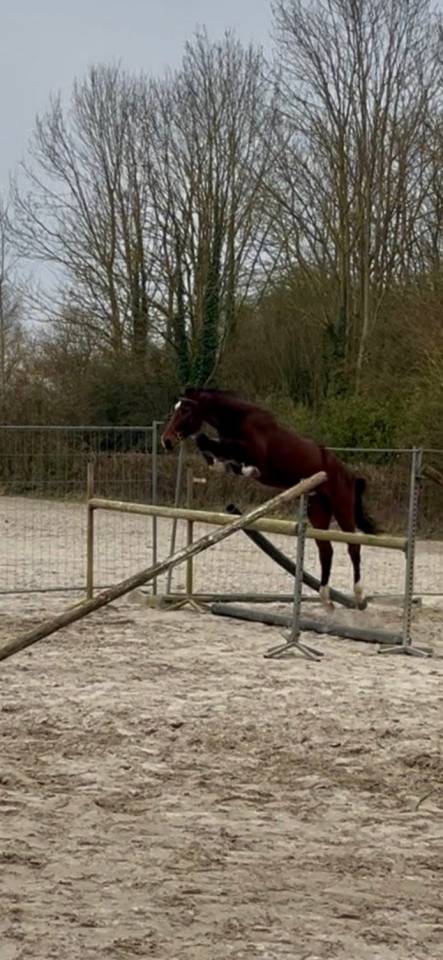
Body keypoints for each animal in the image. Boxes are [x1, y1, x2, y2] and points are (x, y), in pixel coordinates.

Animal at [161, 387, 379, 610]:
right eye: (176, 408)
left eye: (186, 410)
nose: (166, 440)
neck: (238, 419)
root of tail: (350, 475)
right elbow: (211, 448)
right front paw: (222, 464)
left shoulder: (253, 453)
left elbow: (211, 443)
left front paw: (246, 469)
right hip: (318, 510)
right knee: (326, 551)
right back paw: (326, 599)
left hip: (342, 507)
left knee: (353, 546)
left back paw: (359, 595)